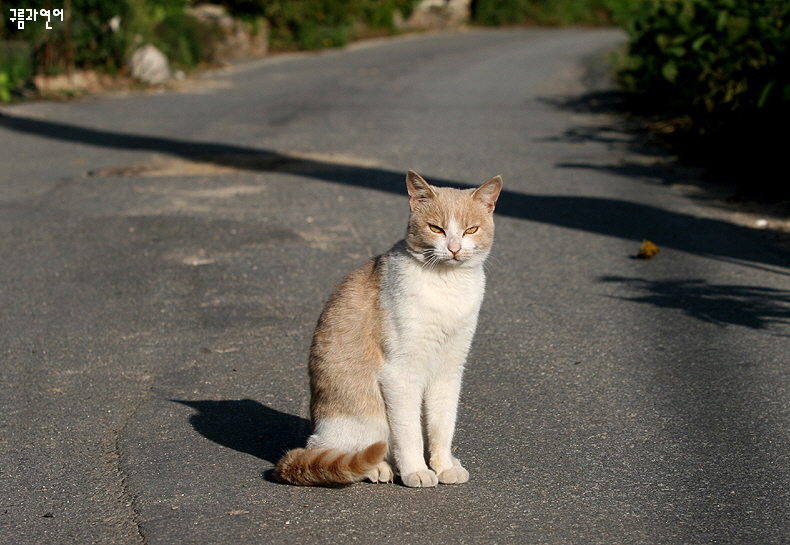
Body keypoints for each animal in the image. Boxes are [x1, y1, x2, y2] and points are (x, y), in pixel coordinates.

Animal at [276, 169, 504, 484]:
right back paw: (379, 468)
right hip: (364, 418)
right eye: (436, 228)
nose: (454, 249)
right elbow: (409, 434)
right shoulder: (400, 374)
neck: (447, 285)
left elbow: (442, 426)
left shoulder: (449, 371)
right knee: (340, 452)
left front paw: (443, 465)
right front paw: (417, 470)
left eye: (471, 230)